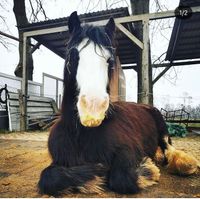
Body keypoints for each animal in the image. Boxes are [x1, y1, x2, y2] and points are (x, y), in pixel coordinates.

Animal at [38, 10, 199, 196]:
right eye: (73, 56)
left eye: (109, 61)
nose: (93, 109)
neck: (82, 134)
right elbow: (49, 177)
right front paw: (94, 174)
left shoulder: (129, 151)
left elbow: (122, 177)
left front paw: (148, 169)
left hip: (162, 129)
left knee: (168, 147)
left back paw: (184, 163)